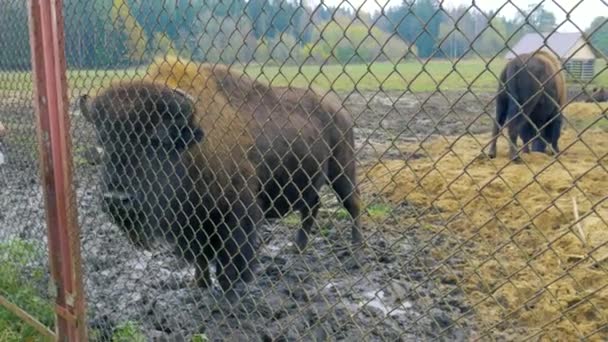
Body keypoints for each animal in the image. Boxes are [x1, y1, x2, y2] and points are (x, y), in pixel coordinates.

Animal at [79, 56, 360, 292]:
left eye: (156, 140)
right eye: (104, 140)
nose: (117, 199)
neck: (193, 145)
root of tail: (338, 108)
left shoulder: (235, 211)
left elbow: (232, 252)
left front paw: (230, 286)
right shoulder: (194, 222)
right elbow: (201, 255)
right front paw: (200, 283)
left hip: (342, 172)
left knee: (352, 204)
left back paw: (356, 253)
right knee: (313, 205)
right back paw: (298, 247)